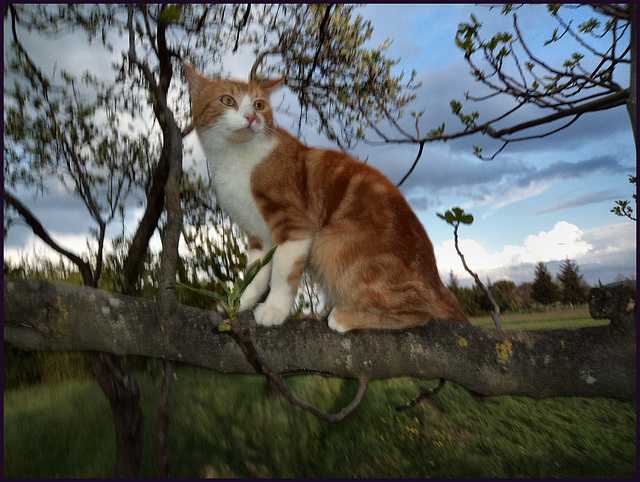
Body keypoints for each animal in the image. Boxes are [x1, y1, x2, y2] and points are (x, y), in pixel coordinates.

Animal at [182, 63, 468, 332]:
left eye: (259, 104)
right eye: (227, 100)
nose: (251, 116)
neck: (236, 158)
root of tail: (436, 281)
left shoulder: (295, 226)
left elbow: (282, 275)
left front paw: (274, 310)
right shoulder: (258, 238)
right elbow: (254, 275)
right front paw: (241, 303)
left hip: (331, 241)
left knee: (419, 310)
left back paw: (344, 316)